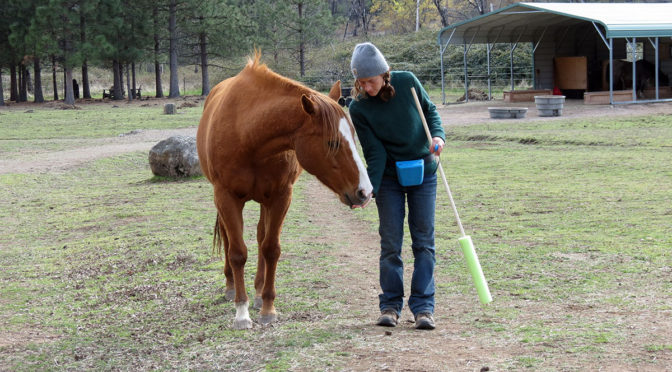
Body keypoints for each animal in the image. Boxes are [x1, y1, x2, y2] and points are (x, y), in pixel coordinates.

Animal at [197, 51, 372, 328]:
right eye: (332, 142)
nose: (365, 191)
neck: (248, 134)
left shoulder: (281, 196)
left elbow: (271, 248)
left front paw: (267, 307)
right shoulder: (226, 197)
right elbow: (237, 252)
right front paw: (241, 311)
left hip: (264, 200)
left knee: (260, 237)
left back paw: (258, 290)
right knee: (227, 237)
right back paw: (230, 286)